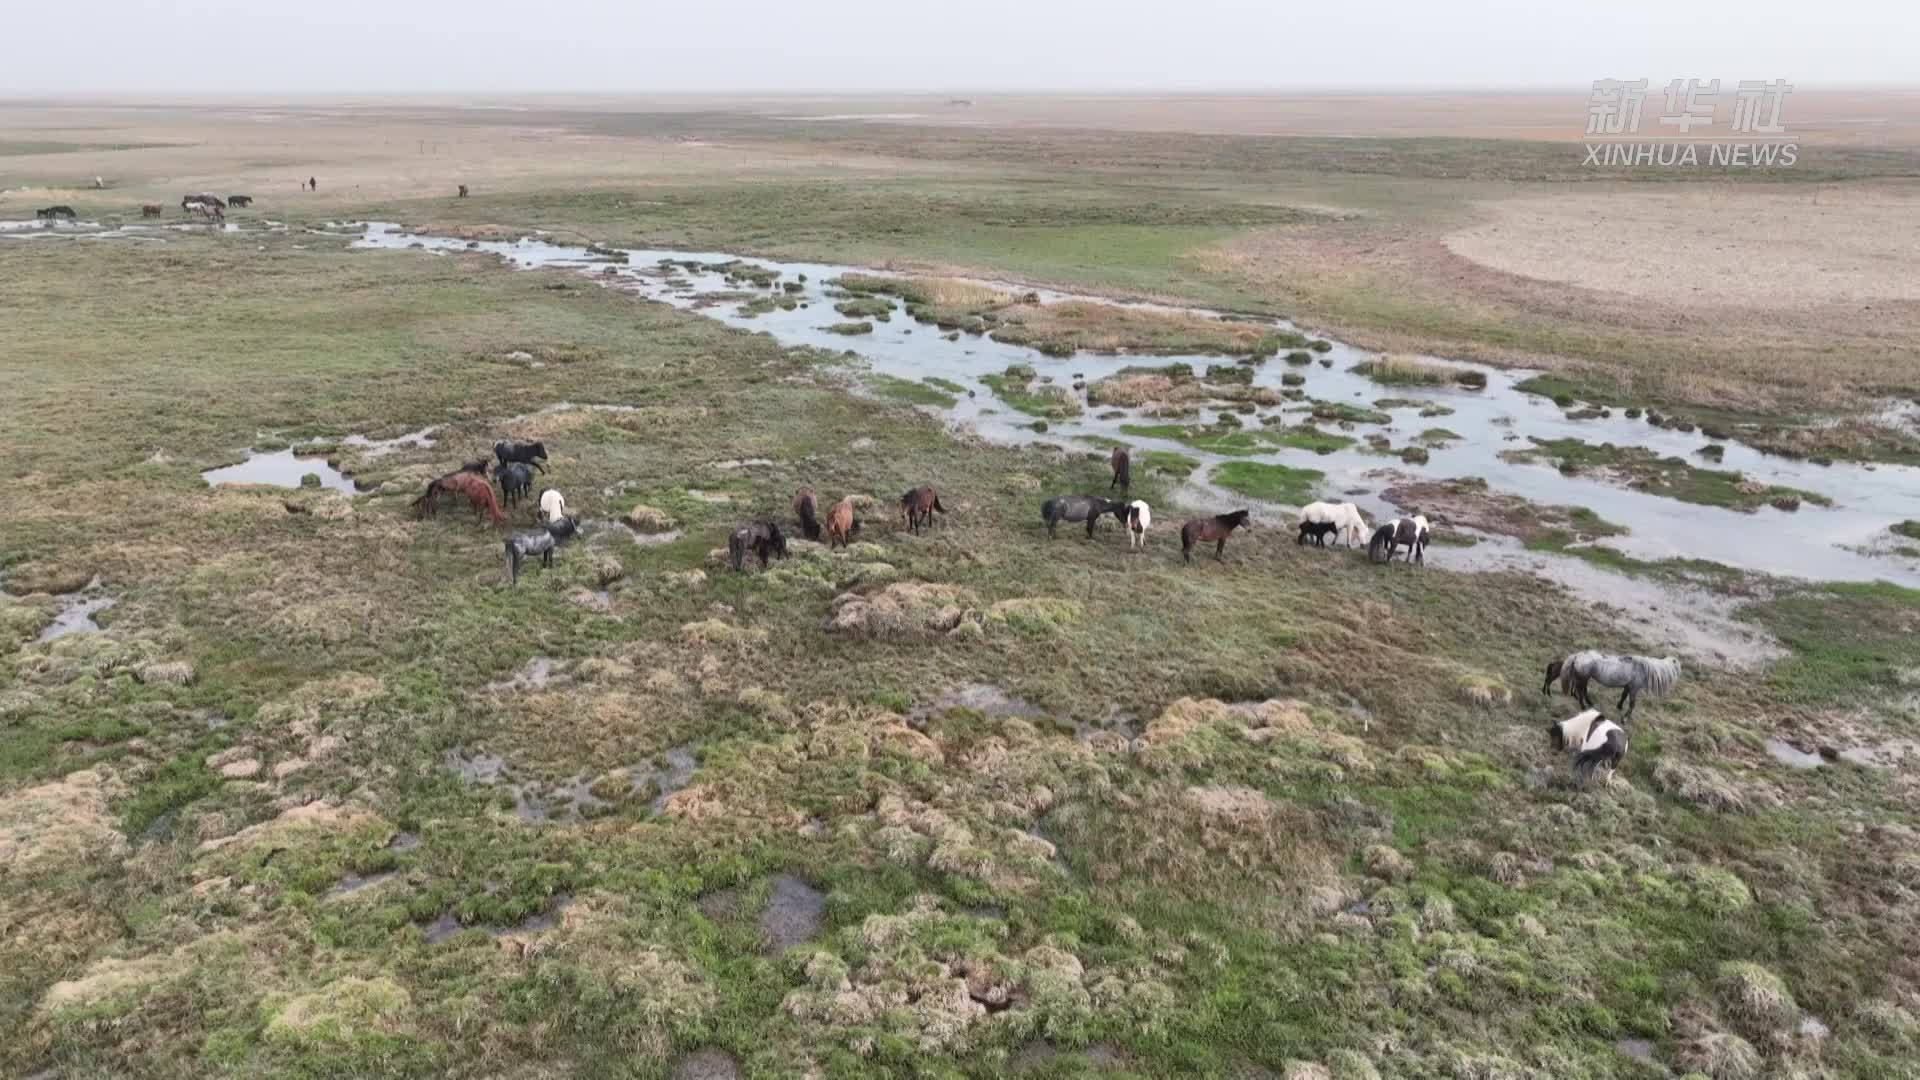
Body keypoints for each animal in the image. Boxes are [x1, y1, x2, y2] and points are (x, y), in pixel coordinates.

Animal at [1548, 652, 1681, 719]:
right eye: (1678, 667)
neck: (1643, 668)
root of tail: (1578, 656)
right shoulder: (1634, 688)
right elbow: (1632, 704)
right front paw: (1626, 718)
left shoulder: (1628, 686)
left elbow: (1623, 696)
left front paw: (1619, 707)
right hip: (1583, 679)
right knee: (1580, 692)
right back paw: (1583, 706)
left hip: (1584, 679)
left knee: (1582, 691)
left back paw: (1589, 703)